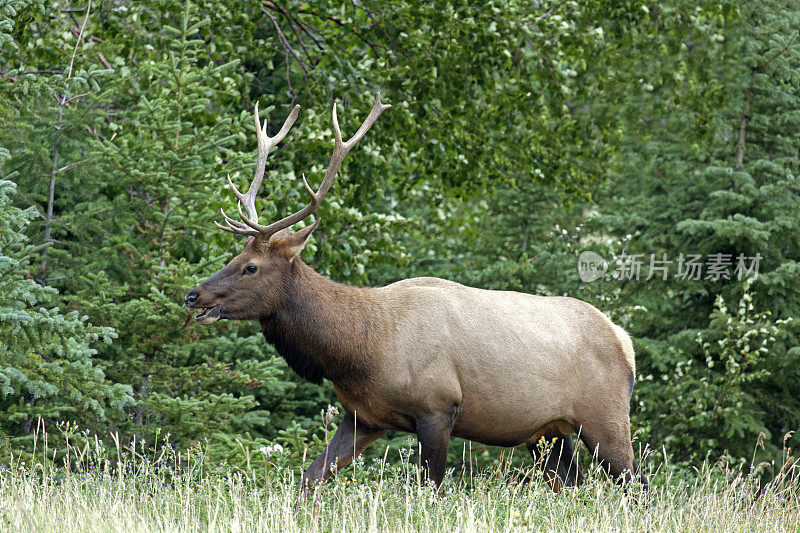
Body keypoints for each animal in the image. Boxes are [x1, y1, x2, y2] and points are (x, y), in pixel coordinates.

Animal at [186, 93, 648, 492]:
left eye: (250, 267)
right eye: (234, 256)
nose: (194, 295)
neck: (358, 349)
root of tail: (625, 341)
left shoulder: (437, 407)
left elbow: (431, 489)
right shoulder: (364, 416)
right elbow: (311, 478)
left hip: (605, 417)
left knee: (638, 485)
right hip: (548, 433)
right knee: (575, 483)